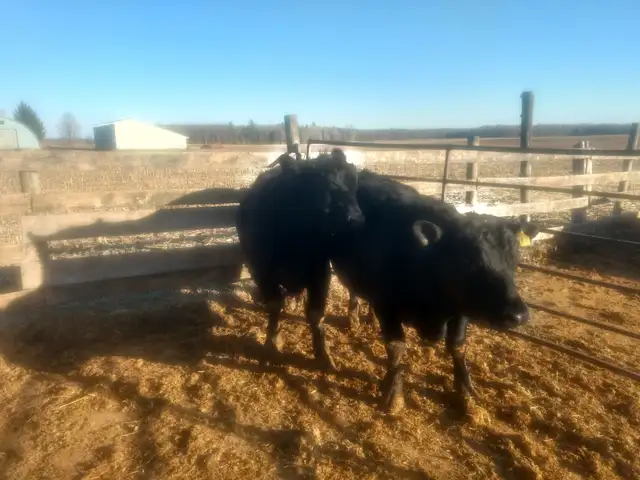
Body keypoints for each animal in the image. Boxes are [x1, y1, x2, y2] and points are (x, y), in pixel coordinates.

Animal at [236, 148, 364, 371]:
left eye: (353, 181)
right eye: (325, 183)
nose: (356, 218)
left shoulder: (320, 273)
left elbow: (315, 314)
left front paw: (323, 355)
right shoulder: (261, 271)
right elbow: (274, 306)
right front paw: (272, 342)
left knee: (351, 285)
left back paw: (353, 315)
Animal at [330, 170, 539, 412]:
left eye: (515, 257)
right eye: (468, 260)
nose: (518, 315)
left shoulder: (460, 309)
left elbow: (457, 346)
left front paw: (466, 392)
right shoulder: (386, 306)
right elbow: (396, 347)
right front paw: (394, 395)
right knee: (354, 291)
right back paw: (353, 319)